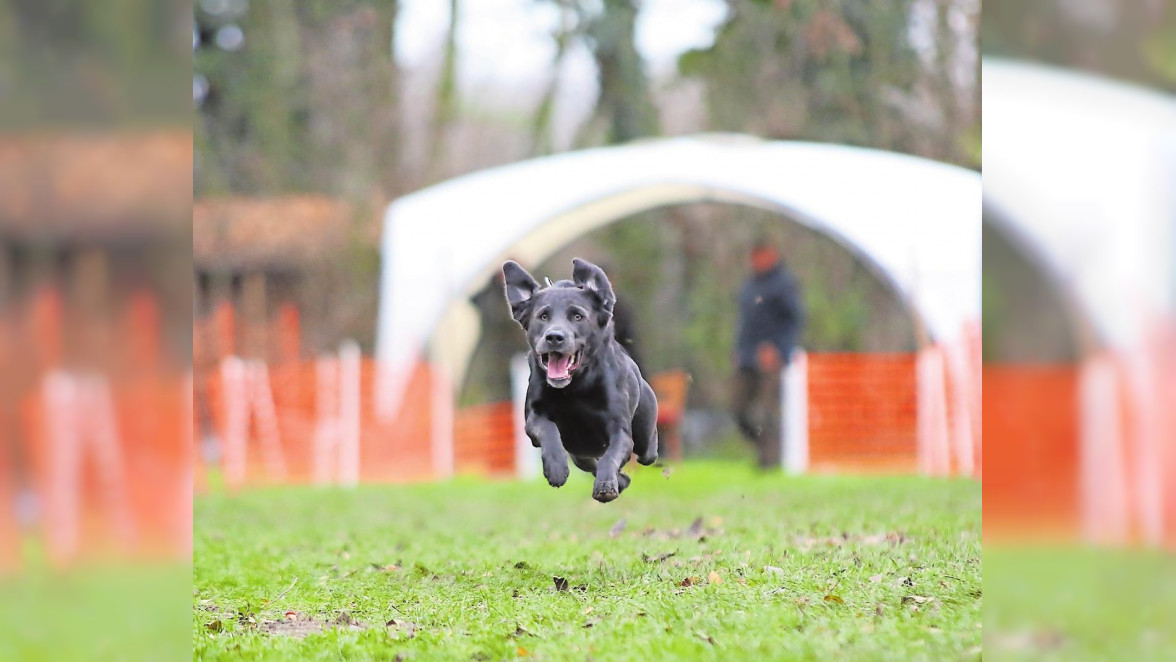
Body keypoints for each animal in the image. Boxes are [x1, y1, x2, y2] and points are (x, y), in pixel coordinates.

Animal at [500, 258, 658, 503]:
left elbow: (611, 455)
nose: (554, 336)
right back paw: (621, 480)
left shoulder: (619, 429)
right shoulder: (534, 416)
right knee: (590, 462)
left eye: (577, 316)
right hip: (580, 453)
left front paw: (605, 485)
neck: (575, 388)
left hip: (645, 434)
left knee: (646, 452)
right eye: (543, 316)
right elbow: (548, 430)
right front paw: (556, 468)